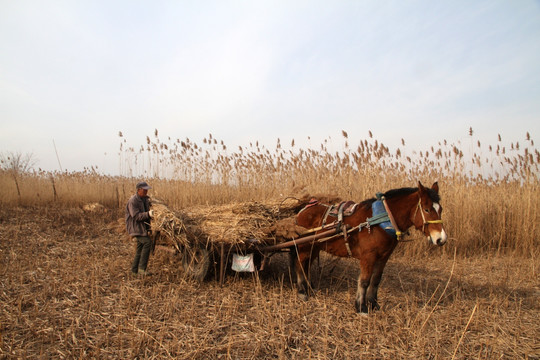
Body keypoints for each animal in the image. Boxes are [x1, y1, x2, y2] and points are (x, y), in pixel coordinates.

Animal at [292, 181, 448, 314]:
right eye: (426, 209)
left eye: (440, 209)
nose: (441, 239)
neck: (381, 220)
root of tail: (302, 211)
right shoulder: (368, 257)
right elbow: (365, 281)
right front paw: (361, 307)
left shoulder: (384, 257)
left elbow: (376, 280)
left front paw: (373, 304)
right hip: (305, 246)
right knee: (299, 264)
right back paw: (301, 291)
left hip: (315, 247)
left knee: (306, 265)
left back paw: (309, 287)